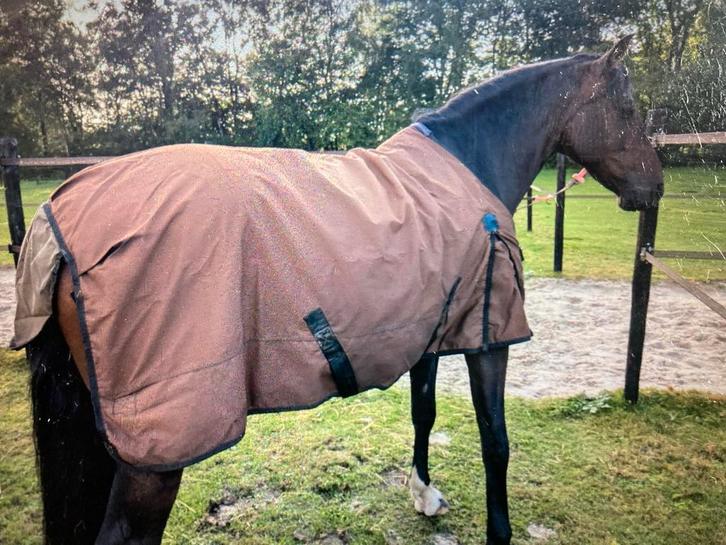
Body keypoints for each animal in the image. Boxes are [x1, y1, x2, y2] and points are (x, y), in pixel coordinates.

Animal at [14, 35, 662, 545]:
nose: (653, 188)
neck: (466, 165)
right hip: (156, 453)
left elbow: (425, 412)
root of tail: (57, 217)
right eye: (628, 105)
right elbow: (495, 440)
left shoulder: (429, 328)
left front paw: (424, 494)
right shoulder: (489, 337)